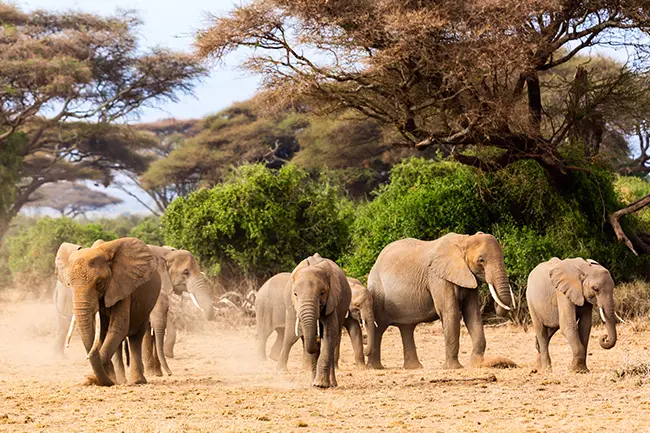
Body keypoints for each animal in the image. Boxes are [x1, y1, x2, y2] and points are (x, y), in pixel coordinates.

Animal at [55, 238, 162, 386]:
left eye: (99, 282)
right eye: (69, 284)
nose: (89, 378)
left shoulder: (122, 285)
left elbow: (118, 327)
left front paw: (92, 378)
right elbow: (100, 334)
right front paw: (104, 379)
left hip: (146, 306)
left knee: (136, 337)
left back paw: (136, 381)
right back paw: (120, 380)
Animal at [276, 253, 352, 388]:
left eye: (322, 293)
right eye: (295, 294)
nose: (317, 339)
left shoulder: (332, 301)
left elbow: (329, 336)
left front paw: (321, 384)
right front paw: (314, 384)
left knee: (335, 339)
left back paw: (332, 384)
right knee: (290, 336)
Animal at [368, 231, 512, 370]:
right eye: (481, 260)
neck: (464, 240)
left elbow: (472, 314)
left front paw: (476, 364)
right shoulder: (438, 278)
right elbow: (450, 312)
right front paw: (454, 368)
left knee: (406, 328)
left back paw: (414, 368)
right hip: (378, 293)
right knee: (379, 327)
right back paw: (375, 368)